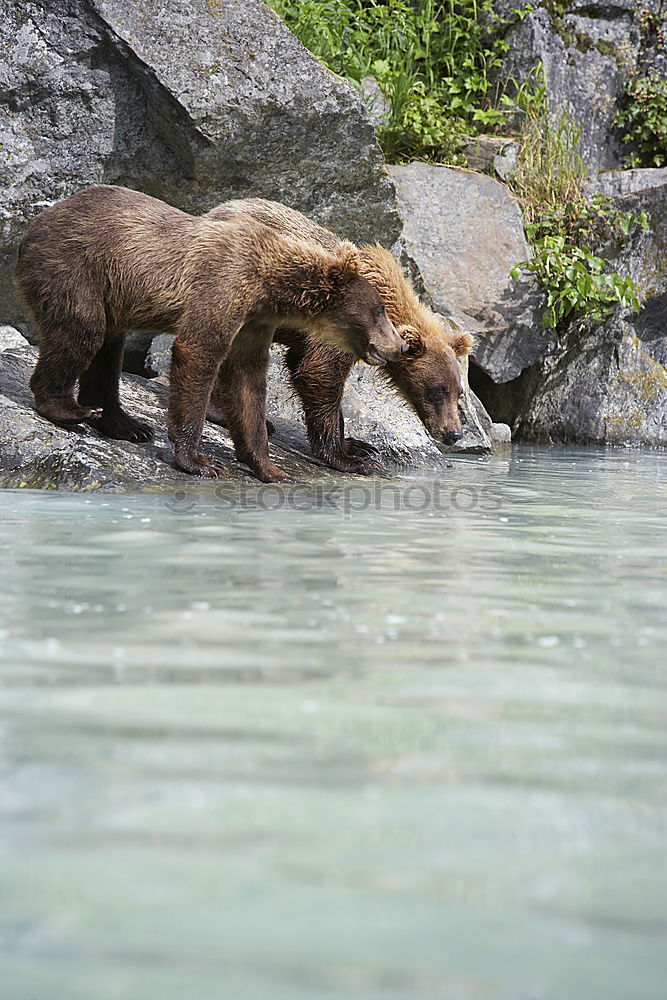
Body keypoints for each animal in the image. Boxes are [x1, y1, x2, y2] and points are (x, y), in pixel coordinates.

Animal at [14, 190, 408, 484]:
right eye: (380, 310)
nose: (400, 344)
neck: (269, 287)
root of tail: (38, 221)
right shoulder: (221, 287)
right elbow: (198, 354)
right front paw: (199, 461)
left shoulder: (252, 324)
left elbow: (247, 383)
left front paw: (270, 467)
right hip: (76, 267)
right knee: (82, 331)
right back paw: (67, 408)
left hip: (112, 292)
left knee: (108, 351)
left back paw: (126, 425)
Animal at [206, 200, 472, 476]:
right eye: (437, 390)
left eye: (458, 392)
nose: (453, 433)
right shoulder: (342, 322)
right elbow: (319, 373)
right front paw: (351, 459)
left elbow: (304, 364)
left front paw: (359, 445)